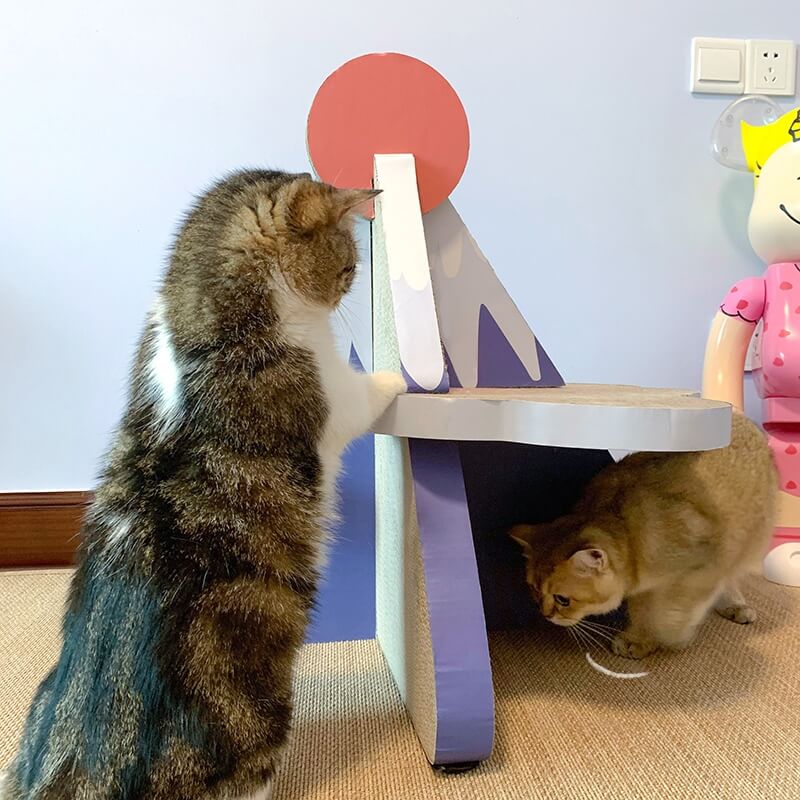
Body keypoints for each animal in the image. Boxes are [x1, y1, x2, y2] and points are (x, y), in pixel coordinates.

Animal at [0, 170, 406, 800]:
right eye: (347, 265)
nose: (347, 287)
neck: (194, 327)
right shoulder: (331, 396)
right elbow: (366, 391)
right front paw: (404, 376)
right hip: (256, 729)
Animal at [510, 410, 780, 660]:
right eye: (534, 589)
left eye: (563, 599)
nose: (546, 615)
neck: (630, 532)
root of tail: (740, 417)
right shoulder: (641, 588)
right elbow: (642, 612)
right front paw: (639, 640)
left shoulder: (701, 568)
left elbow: (673, 614)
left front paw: (671, 636)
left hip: (748, 539)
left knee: (730, 574)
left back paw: (735, 604)